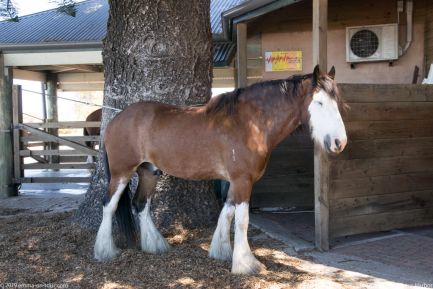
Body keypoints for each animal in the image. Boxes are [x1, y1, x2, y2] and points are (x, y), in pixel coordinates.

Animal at [95, 66, 348, 274]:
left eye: (338, 103)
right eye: (319, 103)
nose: (339, 142)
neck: (250, 123)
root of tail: (116, 119)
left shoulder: (235, 182)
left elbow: (226, 212)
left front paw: (222, 252)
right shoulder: (243, 181)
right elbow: (242, 220)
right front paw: (246, 264)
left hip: (149, 172)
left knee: (141, 205)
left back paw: (155, 246)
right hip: (121, 173)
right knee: (109, 205)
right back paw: (105, 251)